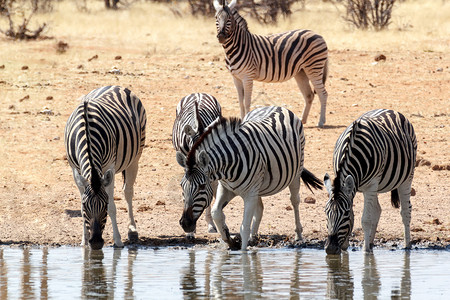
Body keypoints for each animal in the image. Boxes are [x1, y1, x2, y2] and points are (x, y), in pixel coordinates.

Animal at [64, 85, 146, 250]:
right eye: (85, 205)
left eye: (105, 204)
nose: (95, 243)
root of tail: (115, 86)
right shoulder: (75, 170)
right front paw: (84, 242)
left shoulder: (110, 166)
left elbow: (113, 208)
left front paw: (118, 241)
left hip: (136, 155)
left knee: (128, 191)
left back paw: (132, 230)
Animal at [174, 105, 322, 251]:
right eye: (181, 185)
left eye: (202, 186)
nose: (185, 224)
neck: (227, 167)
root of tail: (275, 106)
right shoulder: (226, 188)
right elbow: (216, 213)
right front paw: (229, 239)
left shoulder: (249, 193)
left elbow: (244, 228)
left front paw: (243, 253)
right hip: (259, 185)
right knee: (260, 208)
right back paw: (253, 238)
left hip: (296, 171)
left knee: (295, 201)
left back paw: (298, 235)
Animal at [324, 109, 418, 254]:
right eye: (326, 212)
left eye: (345, 213)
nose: (330, 249)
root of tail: (390, 110)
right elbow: (359, 216)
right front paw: (346, 246)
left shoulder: (371, 185)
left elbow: (366, 220)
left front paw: (365, 251)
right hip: (376, 186)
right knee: (377, 210)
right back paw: (371, 242)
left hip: (407, 177)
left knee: (406, 211)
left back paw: (407, 246)